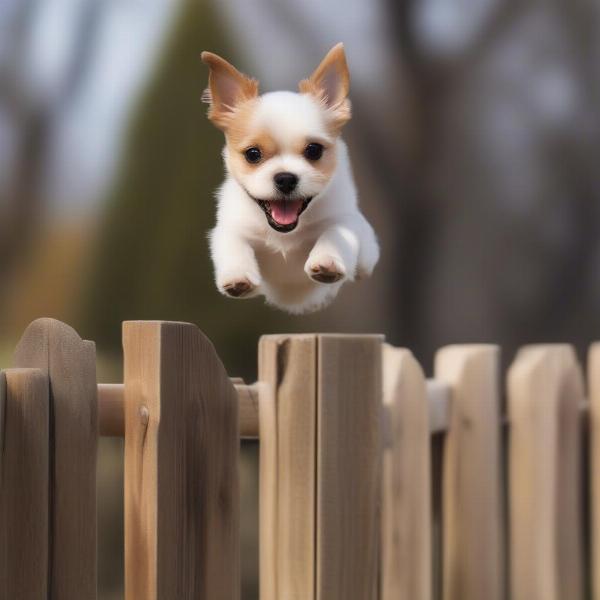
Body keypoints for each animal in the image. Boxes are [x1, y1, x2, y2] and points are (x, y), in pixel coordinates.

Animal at [202, 42, 380, 314]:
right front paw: (237, 276)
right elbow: (234, 243)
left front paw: (327, 260)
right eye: (253, 154)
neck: (285, 233)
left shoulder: (345, 220)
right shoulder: (229, 228)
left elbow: (335, 232)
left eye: (314, 150)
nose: (285, 178)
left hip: (368, 252)